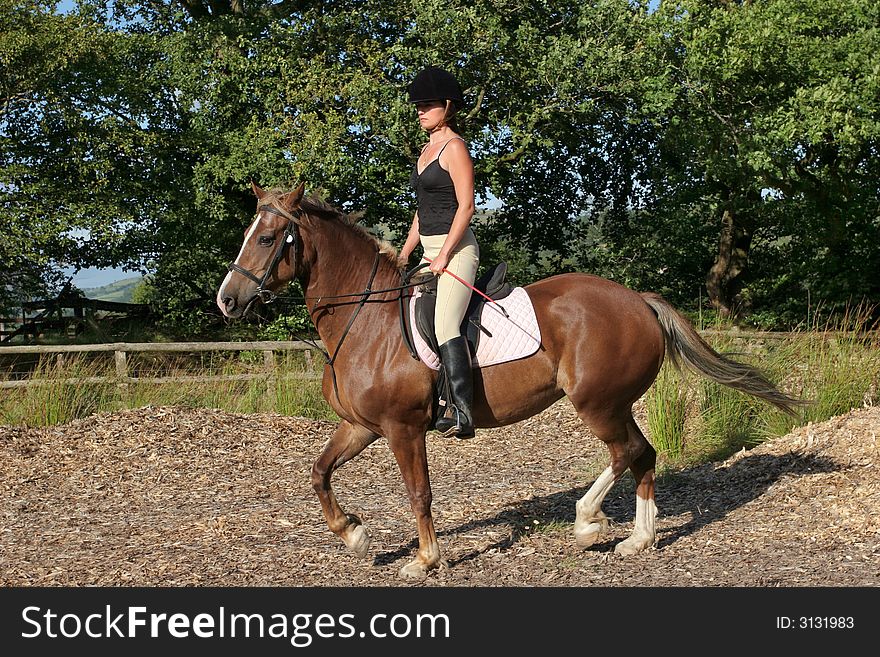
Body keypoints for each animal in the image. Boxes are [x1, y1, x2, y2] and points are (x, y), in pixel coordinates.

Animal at [217, 182, 800, 576]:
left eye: (266, 239)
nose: (227, 300)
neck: (366, 318)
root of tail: (638, 299)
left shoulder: (403, 429)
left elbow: (419, 493)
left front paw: (424, 559)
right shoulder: (362, 426)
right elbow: (319, 473)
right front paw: (355, 536)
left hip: (597, 403)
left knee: (626, 452)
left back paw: (587, 523)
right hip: (615, 402)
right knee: (643, 454)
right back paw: (638, 539)